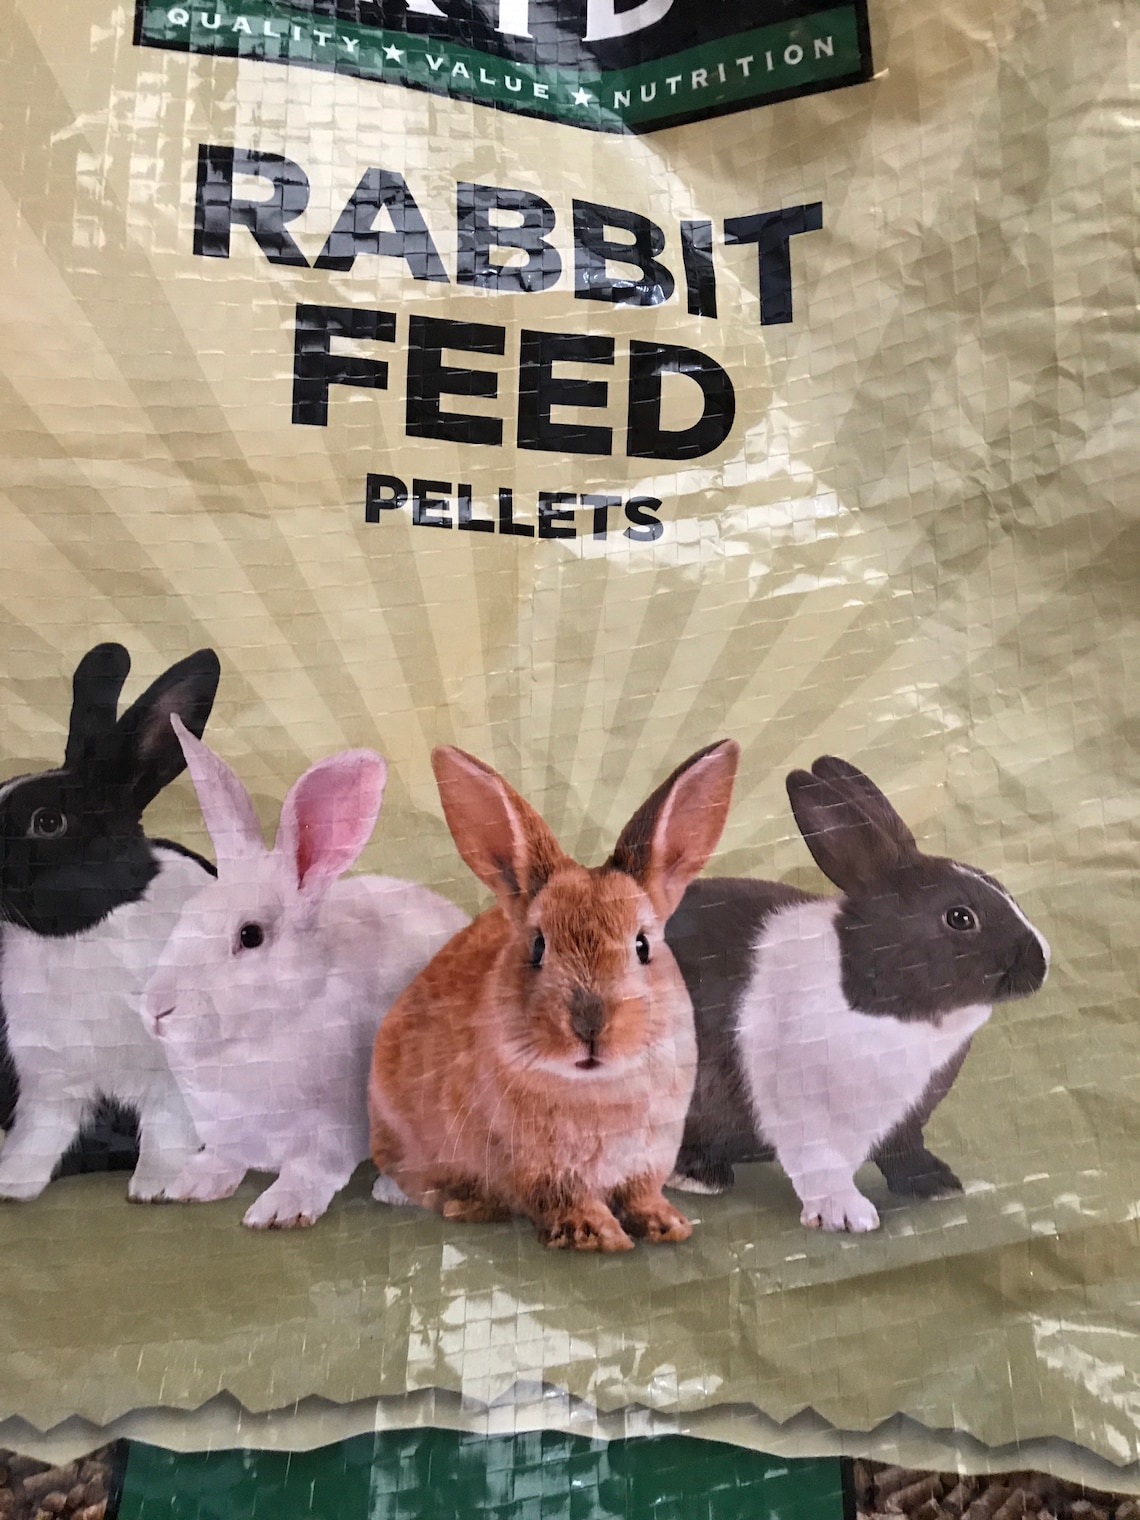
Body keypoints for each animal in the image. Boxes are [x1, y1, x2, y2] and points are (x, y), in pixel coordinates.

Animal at [0, 642, 221, 1202]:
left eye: (48, 822)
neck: (82, 938)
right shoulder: (48, 1081)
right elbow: (39, 1134)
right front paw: (11, 1184)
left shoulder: (173, 1077)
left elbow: (167, 1130)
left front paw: (156, 1187)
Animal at [140, 716, 470, 1229]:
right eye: (187, 914)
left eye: (250, 935)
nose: (156, 1009)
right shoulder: (224, 1132)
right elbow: (222, 1159)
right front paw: (189, 1186)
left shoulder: (334, 1130)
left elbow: (310, 1171)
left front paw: (277, 1210)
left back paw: (392, 1192)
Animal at [368, 739, 740, 1252]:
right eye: (538, 946)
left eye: (643, 946)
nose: (589, 1024)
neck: (596, 1089)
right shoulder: (538, 1170)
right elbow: (564, 1200)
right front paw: (597, 1235)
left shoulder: (646, 1159)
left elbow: (642, 1194)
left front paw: (668, 1225)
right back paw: (469, 1204)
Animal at [664, 756, 1050, 1233]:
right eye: (960, 918)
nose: (1042, 963)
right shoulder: (801, 1110)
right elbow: (820, 1167)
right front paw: (849, 1215)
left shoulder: (902, 1121)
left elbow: (904, 1153)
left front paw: (938, 1185)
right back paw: (697, 1177)